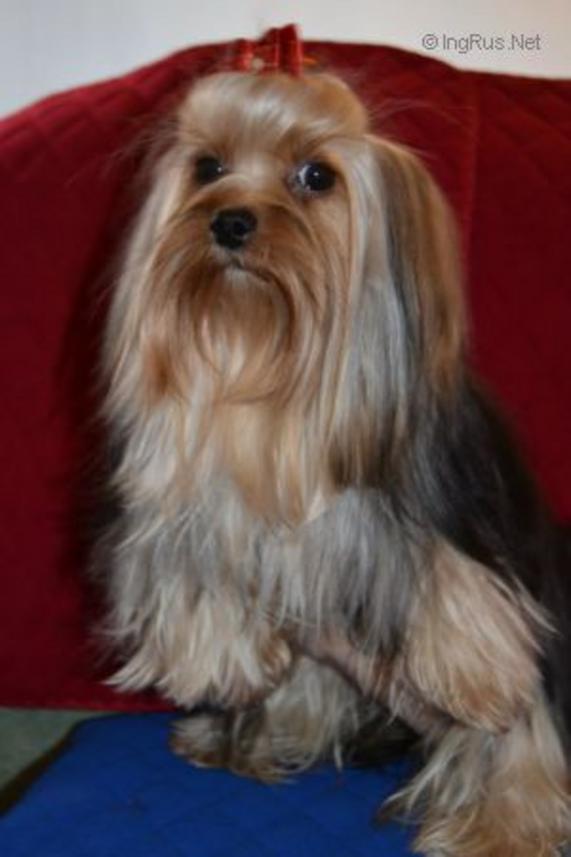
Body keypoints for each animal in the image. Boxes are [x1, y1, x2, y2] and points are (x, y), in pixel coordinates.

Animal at [100, 55, 571, 856]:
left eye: (315, 176)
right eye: (208, 166)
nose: (230, 221)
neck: (264, 345)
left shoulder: (445, 483)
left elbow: (449, 565)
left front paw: (473, 666)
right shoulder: (199, 478)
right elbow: (203, 545)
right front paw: (215, 653)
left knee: (525, 732)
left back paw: (505, 824)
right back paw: (245, 737)